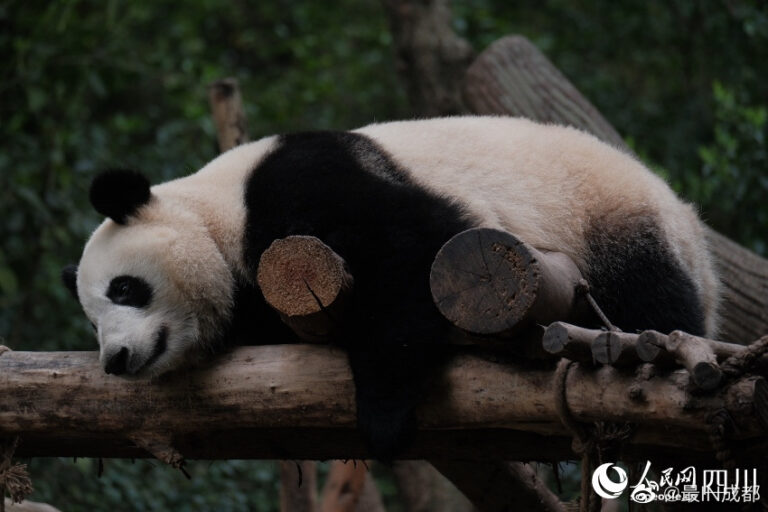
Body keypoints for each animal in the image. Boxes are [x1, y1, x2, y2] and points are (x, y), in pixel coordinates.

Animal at [61, 117, 720, 460]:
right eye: (92, 322)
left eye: (125, 289)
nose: (116, 359)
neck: (217, 211)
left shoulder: (300, 187)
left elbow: (413, 251)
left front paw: (381, 416)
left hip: (613, 225)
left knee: (652, 297)